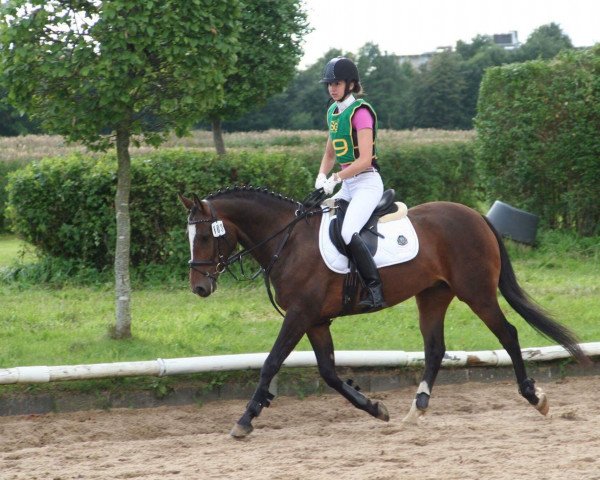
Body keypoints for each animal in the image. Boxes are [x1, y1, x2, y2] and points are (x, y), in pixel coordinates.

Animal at [179, 186, 592, 436]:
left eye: (206, 236)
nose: (199, 287)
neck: (288, 240)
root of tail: (476, 216)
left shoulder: (300, 315)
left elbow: (271, 362)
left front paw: (245, 419)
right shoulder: (316, 320)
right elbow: (329, 373)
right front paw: (375, 408)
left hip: (476, 293)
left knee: (508, 334)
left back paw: (535, 398)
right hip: (433, 295)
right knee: (435, 348)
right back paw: (417, 408)